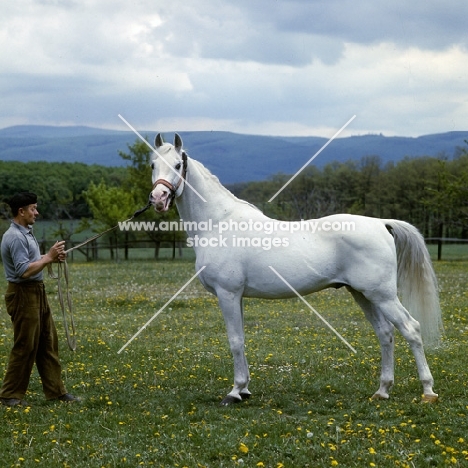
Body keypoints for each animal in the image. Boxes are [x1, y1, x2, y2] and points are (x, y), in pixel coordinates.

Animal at [149, 133, 442, 406]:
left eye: (177, 164)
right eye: (153, 164)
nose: (158, 198)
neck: (219, 223)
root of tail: (380, 223)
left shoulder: (228, 293)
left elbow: (235, 341)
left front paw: (234, 392)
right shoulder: (237, 296)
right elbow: (241, 339)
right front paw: (245, 390)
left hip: (382, 295)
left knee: (411, 329)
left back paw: (428, 390)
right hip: (363, 294)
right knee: (385, 334)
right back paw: (382, 390)